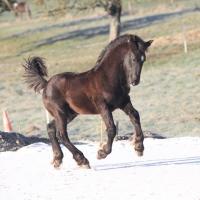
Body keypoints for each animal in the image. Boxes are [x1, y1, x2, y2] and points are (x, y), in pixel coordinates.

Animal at [22, 34, 152, 169]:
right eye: (133, 58)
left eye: (143, 59)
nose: (135, 81)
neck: (108, 78)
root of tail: (46, 84)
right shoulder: (103, 106)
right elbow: (111, 128)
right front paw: (102, 153)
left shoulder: (124, 102)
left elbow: (135, 116)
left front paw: (139, 148)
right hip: (60, 113)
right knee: (62, 134)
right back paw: (82, 160)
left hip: (70, 114)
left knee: (51, 128)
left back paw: (58, 159)